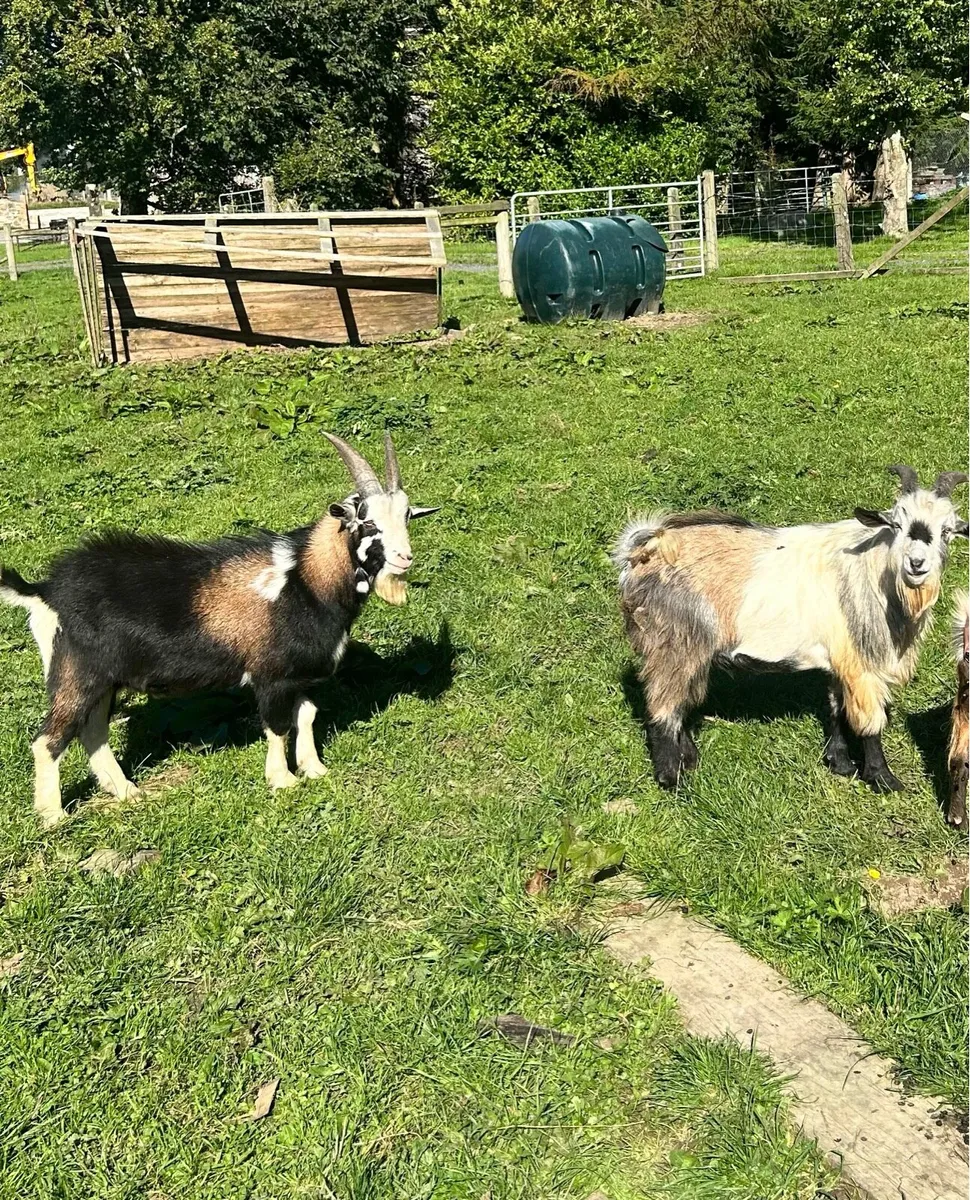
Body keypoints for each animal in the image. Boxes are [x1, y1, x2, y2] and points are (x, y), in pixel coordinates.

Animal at [0, 432, 438, 827]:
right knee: (49, 739)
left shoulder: (298, 674)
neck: (306, 580)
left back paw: (126, 792)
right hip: (76, 672)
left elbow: (307, 715)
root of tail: (45, 590)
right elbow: (277, 725)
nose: (404, 557)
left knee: (93, 732)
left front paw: (314, 769)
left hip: (104, 679)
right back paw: (53, 816)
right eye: (366, 521)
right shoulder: (271, 674)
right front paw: (282, 780)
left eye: (406, 516)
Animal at [613, 465, 968, 793]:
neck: (873, 570)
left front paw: (840, 763)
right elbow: (869, 723)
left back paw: (689, 759)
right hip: (673, 642)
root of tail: (644, 550)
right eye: (895, 524)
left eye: (947, 530)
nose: (917, 564)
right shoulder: (861, 663)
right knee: (663, 708)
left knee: (680, 702)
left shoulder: (837, 658)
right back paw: (672, 780)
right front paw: (883, 779)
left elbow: (835, 707)